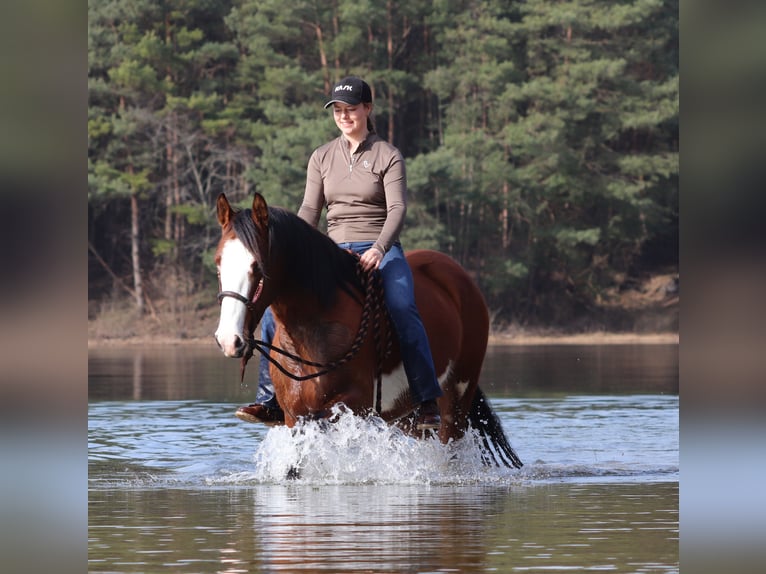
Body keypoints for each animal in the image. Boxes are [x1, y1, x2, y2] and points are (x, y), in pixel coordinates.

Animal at [213, 192, 522, 468]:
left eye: (257, 266)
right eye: (218, 263)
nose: (229, 340)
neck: (314, 331)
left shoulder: (352, 406)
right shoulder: (293, 414)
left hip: (456, 399)